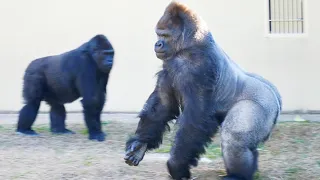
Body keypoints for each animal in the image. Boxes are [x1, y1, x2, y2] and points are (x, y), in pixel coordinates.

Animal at [124, 1, 282, 180]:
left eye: (165, 36)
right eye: (158, 35)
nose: (157, 44)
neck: (191, 42)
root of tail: (275, 95)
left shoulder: (197, 66)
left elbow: (196, 118)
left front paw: (176, 166)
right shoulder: (170, 64)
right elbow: (163, 105)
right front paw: (140, 144)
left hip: (264, 104)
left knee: (234, 137)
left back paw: (238, 175)